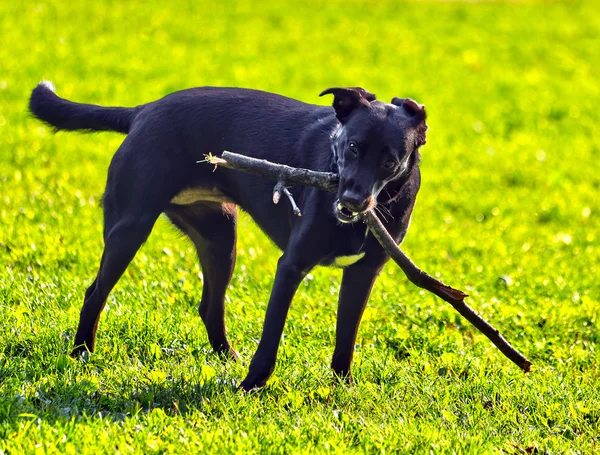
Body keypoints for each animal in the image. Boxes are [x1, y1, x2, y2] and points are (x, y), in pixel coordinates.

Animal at [29, 83, 426, 392]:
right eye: (353, 147)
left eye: (391, 161)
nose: (351, 201)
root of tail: (144, 111)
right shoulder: (291, 266)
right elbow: (270, 338)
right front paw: (249, 388)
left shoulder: (363, 273)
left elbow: (346, 338)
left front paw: (344, 387)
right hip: (130, 228)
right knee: (95, 293)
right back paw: (81, 353)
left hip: (221, 238)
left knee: (209, 305)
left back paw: (226, 355)